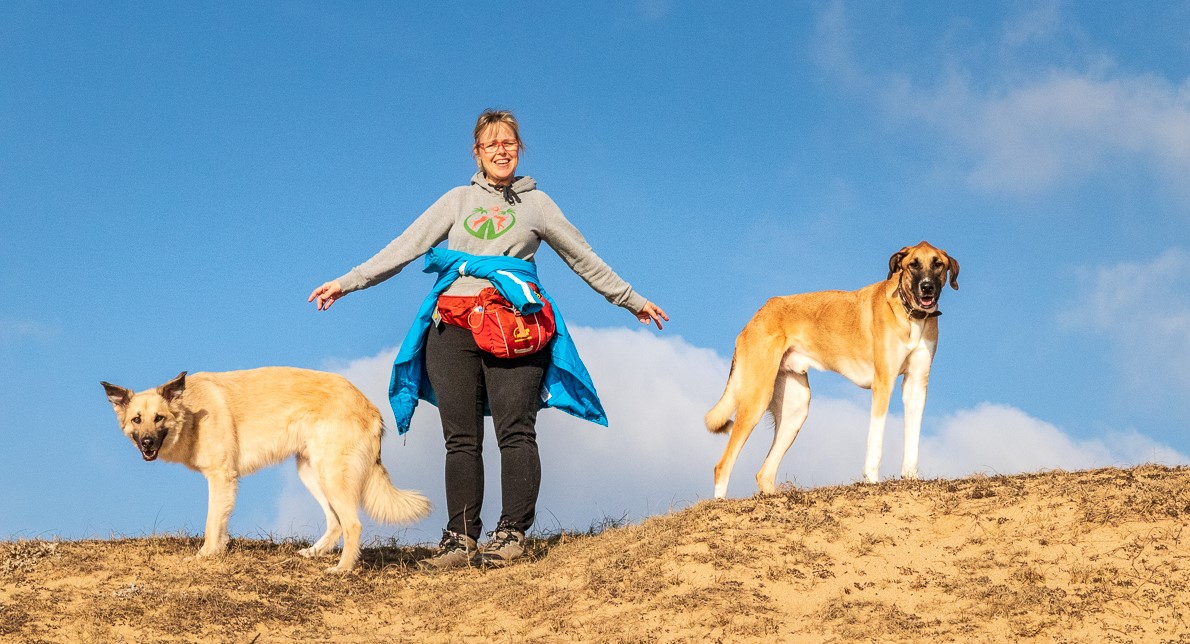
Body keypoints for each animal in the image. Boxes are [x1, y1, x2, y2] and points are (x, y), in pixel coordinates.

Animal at [99, 364, 430, 569]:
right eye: (137, 420)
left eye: (159, 418)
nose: (146, 444)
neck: (190, 413)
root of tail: (370, 406)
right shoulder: (226, 483)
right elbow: (221, 523)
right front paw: (219, 550)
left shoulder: (221, 477)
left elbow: (211, 522)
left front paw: (205, 556)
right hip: (311, 474)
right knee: (336, 522)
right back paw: (313, 553)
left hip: (332, 476)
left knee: (352, 524)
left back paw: (343, 569)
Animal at [704, 242, 956, 497]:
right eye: (913, 264)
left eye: (938, 264)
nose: (927, 288)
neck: (911, 315)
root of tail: (758, 314)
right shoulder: (883, 384)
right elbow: (875, 440)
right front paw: (872, 481)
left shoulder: (916, 385)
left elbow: (913, 438)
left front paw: (911, 478)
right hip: (757, 398)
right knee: (722, 465)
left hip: (796, 409)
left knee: (764, 473)